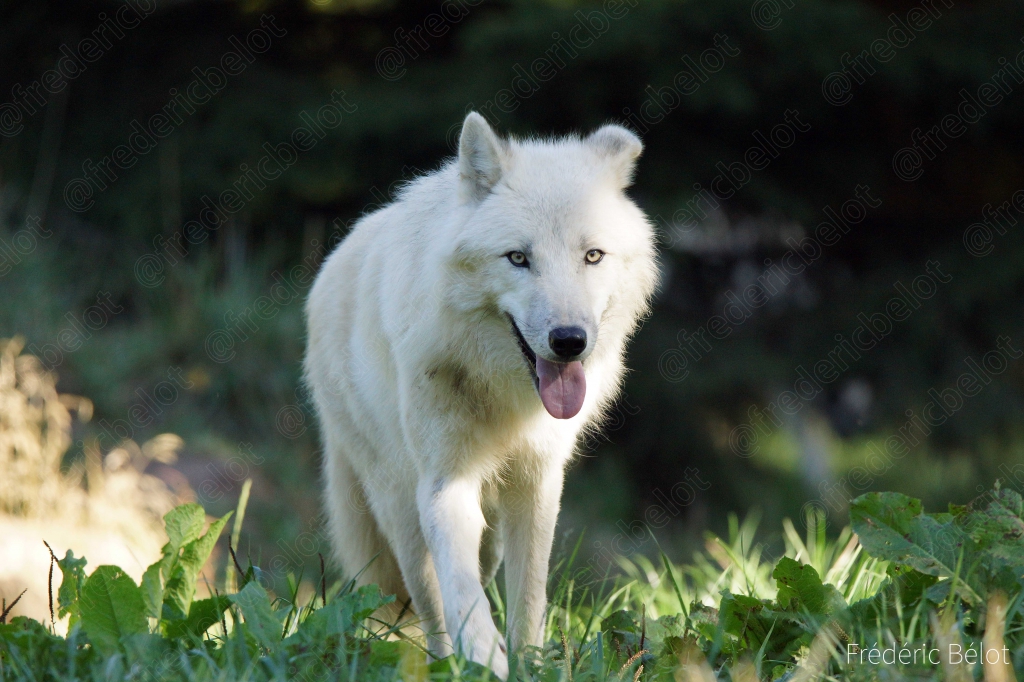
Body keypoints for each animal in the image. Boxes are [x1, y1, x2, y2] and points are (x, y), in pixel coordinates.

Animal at [305, 112, 657, 678]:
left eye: (592, 256)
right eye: (517, 258)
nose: (569, 340)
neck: (504, 392)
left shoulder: (539, 481)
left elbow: (529, 595)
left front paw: (529, 662)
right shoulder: (444, 482)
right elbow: (459, 591)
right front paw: (487, 656)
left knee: (486, 559)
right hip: (399, 503)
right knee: (429, 604)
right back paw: (444, 661)